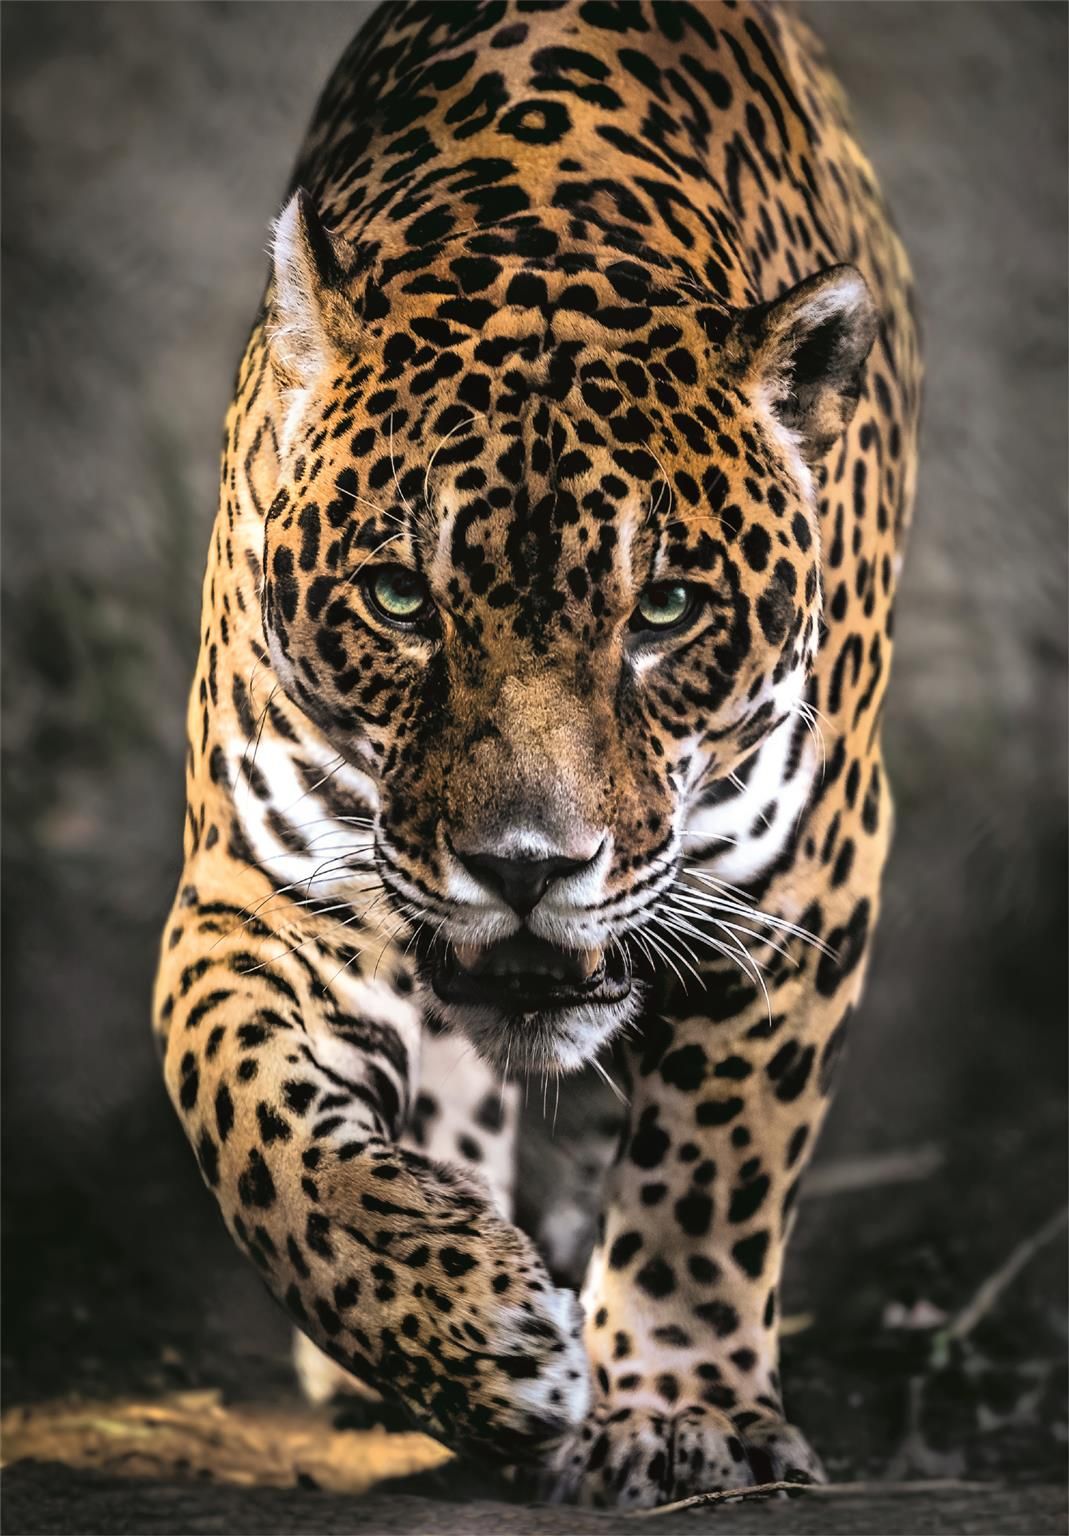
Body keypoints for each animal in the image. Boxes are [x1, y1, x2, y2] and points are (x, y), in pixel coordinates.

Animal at [153, 0, 921, 1509]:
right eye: (400, 598)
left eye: (665, 610)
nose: (524, 867)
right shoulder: (254, 890)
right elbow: (254, 1123)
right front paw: (465, 1333)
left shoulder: (801, 878)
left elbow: (713, 1167)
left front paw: (683, 1413)